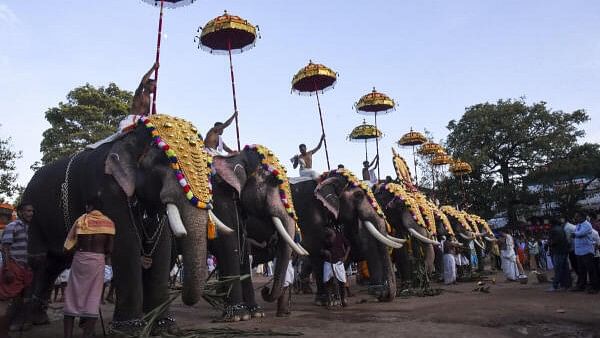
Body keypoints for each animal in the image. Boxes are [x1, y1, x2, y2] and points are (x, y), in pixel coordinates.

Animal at [22, 115, 225, 334]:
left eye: (208, 167)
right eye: (164, 163)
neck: (131, 137)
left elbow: (161, 248)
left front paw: (165, 328)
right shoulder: (107, 188)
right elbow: (126, 244)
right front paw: (130, 331)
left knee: (55, 263)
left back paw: (40, 319)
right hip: (35, 217)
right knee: (39, 261)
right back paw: (27, 322)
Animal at [207, 145, 310, 320]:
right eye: (274, 181)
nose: (265, 290)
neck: (234, 157)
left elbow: (242, 245)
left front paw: (256, 313)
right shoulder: (219, 197)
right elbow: (230, 242)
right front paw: (239, 316)